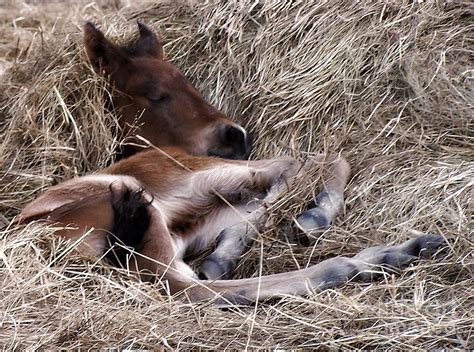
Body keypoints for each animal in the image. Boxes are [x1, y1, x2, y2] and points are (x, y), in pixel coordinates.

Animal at [18, 22, 442, 302]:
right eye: (156, 94)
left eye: (188, 80)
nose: (235, 135)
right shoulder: (194, 176)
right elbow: (314, 161)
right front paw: (313, 216)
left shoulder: (196, 221)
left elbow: (258, 204)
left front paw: (225, 253)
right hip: (148, 208)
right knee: (192, 289)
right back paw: (359, 262)